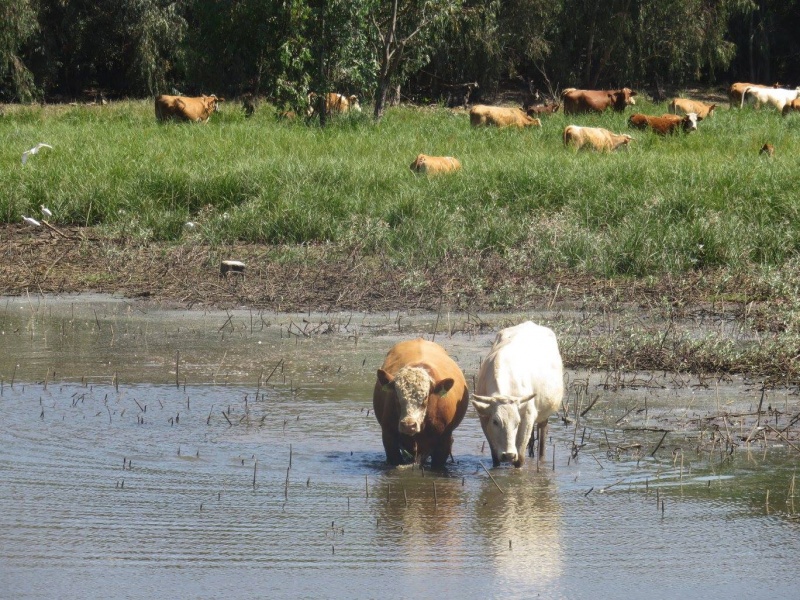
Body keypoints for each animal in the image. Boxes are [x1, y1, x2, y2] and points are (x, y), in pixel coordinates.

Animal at [472, 322, 564, 466]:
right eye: (495, 421)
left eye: (517, 422)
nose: (509, 455)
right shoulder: (484, 419)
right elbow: (495, 457)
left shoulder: (527, 416)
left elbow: (520, 458)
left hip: (544, 413)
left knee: (542, 436)